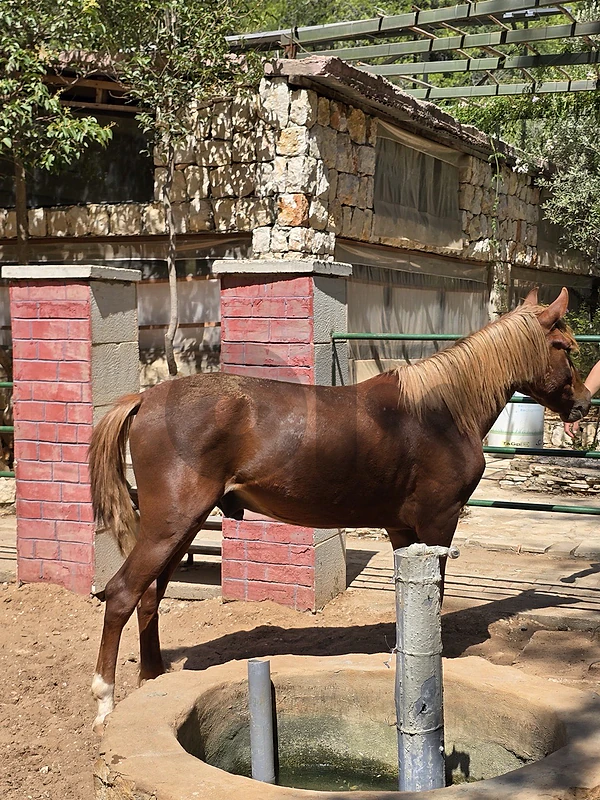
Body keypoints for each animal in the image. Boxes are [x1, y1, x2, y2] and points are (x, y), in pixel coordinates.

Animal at [88, 287, 590, 732]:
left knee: (149, 596)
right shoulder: (437, 522)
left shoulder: (402, 530)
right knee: (123, 594)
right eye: (563, 347)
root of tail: (146, 398)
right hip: (170, 525)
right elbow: (437, 591)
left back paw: (152, 679)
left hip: (182, 527)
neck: (442, 412)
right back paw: (105, 701)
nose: (585, 403)